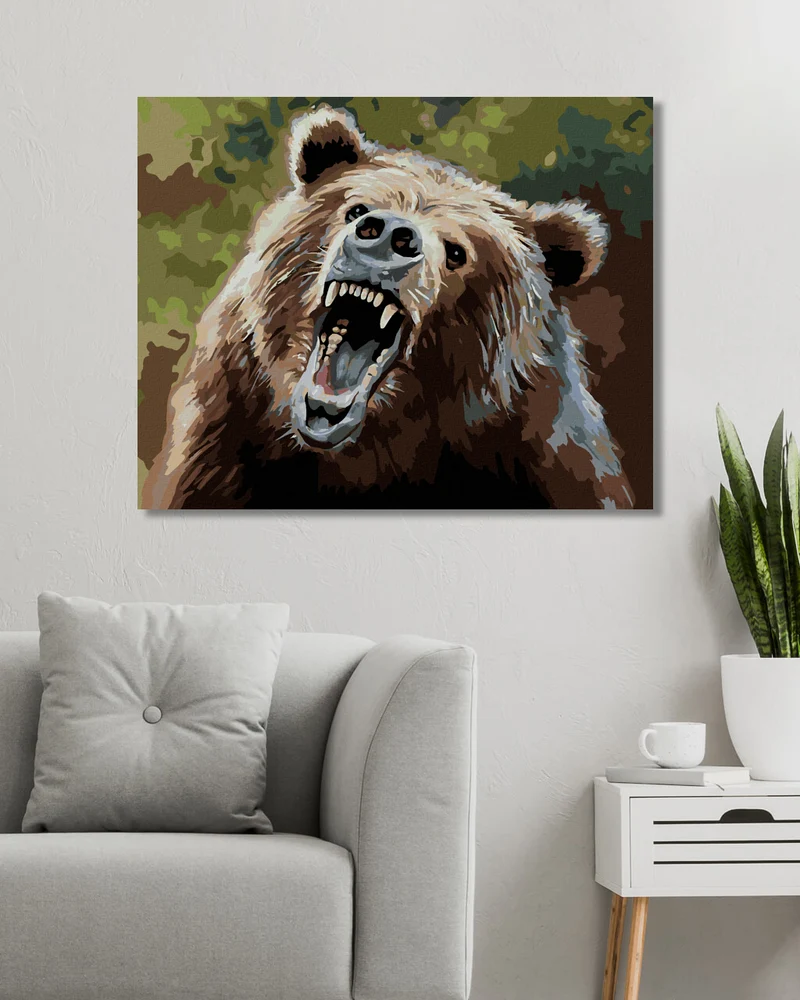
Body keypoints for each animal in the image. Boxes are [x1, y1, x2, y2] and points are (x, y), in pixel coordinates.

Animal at [142, 105, 635, 510]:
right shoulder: (226, 433)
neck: (376, 450)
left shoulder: (543, 446)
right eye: (356, 208)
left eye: (457, 252)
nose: (388, 234)